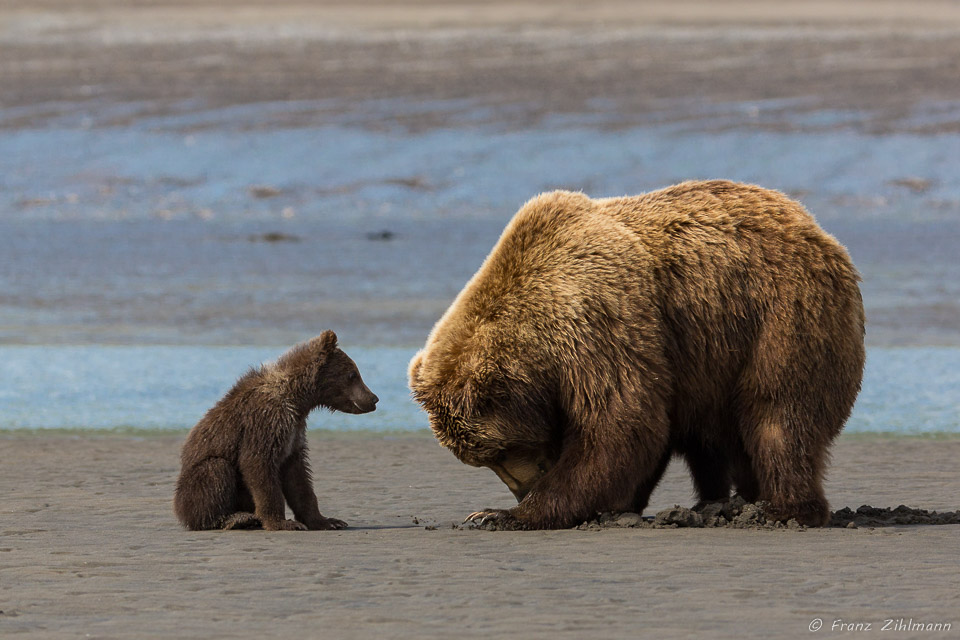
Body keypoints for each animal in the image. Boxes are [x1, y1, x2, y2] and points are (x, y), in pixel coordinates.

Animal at [408, 180, 868, 528]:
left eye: (498, 451)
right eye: (482, 459)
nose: (522, 489)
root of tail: (819, 232)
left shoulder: (597, 323)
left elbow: (622, 423)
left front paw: (503, 514)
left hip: (780, 318)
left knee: (779, 415)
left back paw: (783, 508)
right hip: (714, 354)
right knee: (713, 438)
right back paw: (719, 502)